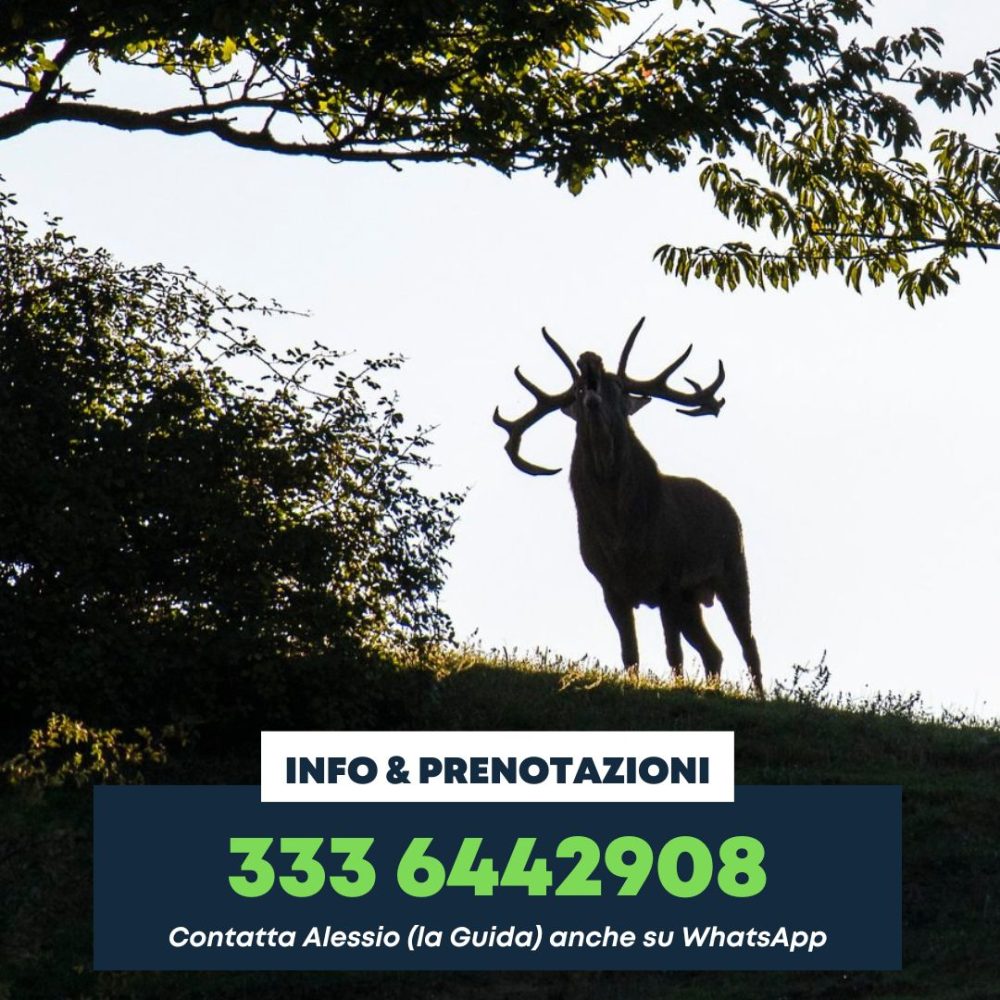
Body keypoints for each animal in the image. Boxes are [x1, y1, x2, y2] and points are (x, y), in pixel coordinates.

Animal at [493, 318, 764, 696]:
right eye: (577, 391)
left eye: (617, 386)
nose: (589, 359)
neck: (624, 538)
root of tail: (729, 507)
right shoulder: (610, 588)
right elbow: (630, 654)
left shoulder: (668, 580)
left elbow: (673, 654)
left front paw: (677, 688)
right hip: (692, 599)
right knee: (714, 651)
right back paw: (713, 689)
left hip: (732, 569)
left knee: (749, 644)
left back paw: (759, 696)